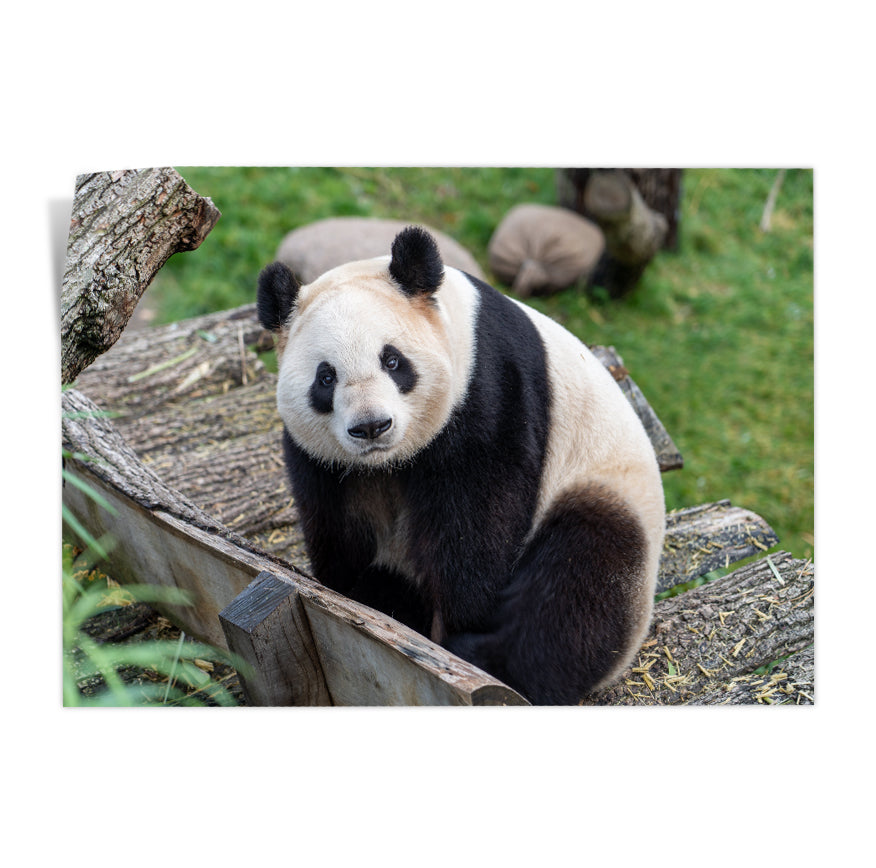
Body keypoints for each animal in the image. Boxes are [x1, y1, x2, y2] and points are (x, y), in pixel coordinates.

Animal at [257, 226, 665, 704]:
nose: (372, 426)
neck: (391, 461)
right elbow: (339, 522)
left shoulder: (488, 388)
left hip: (604, 489)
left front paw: (459, 623)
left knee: (580, 582)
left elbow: (478, 519)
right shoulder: (324, 459)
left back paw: (491, 659)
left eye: (392, 360)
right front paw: (349, 595)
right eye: (326, 377)